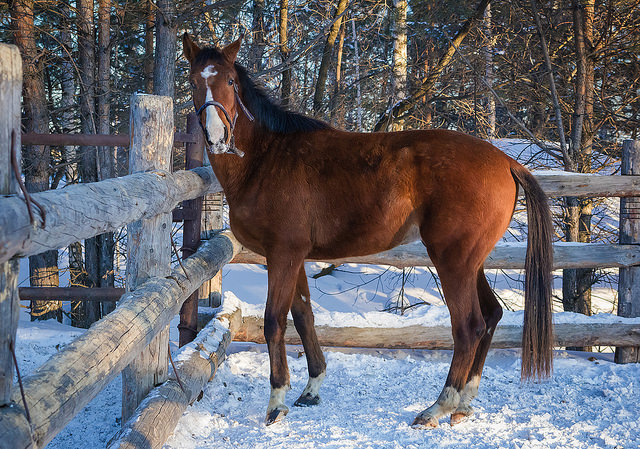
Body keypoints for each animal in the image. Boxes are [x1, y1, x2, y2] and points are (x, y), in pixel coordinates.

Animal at [182, 34, 552, 428]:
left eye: (230, 81)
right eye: (193, 81)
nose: (217, 136)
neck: (266, 159)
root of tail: (506, 161)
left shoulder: (282, 254)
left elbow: (274, 322)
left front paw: (276, 402)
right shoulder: (295, 257)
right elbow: (304, 316)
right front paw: (311, 389)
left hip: (453, 261)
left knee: (469, 327)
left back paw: (438, 407)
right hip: (471, 261)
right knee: (492, 315)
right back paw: (464, 404)